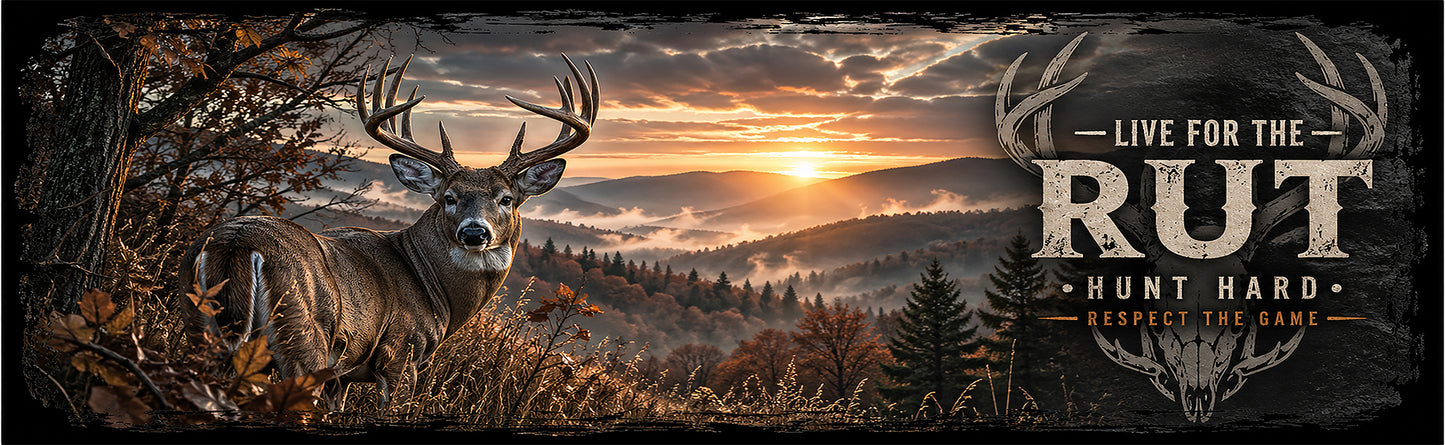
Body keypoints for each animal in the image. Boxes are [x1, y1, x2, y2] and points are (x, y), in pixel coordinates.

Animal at [176, 54, 600, 408]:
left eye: (506, 198)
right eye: (448, 197)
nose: (474, 233)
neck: (436, 289)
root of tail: (235, 246)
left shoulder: (341, 378)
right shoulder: (401, 354)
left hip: (198, 330)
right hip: (301, 333)